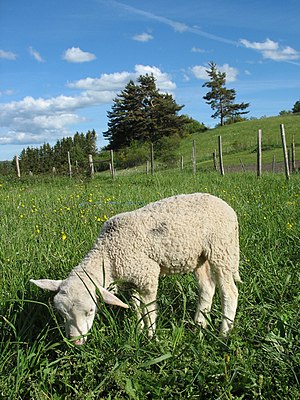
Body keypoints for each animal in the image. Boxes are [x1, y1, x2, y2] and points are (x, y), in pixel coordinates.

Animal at [31, 193, 241, 344]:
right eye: (61, 314)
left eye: (91, 311)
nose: (76, 342)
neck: (108, 252)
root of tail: (225, 205)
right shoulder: (131, 280)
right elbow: (136, 306)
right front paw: (139, 330)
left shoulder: (147, 275)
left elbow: (149, 310)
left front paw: (151, 337)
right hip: (199, 256)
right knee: (207, 287)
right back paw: (199, 325)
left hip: (222, 248)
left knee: (229, 292)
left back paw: (224, 333)